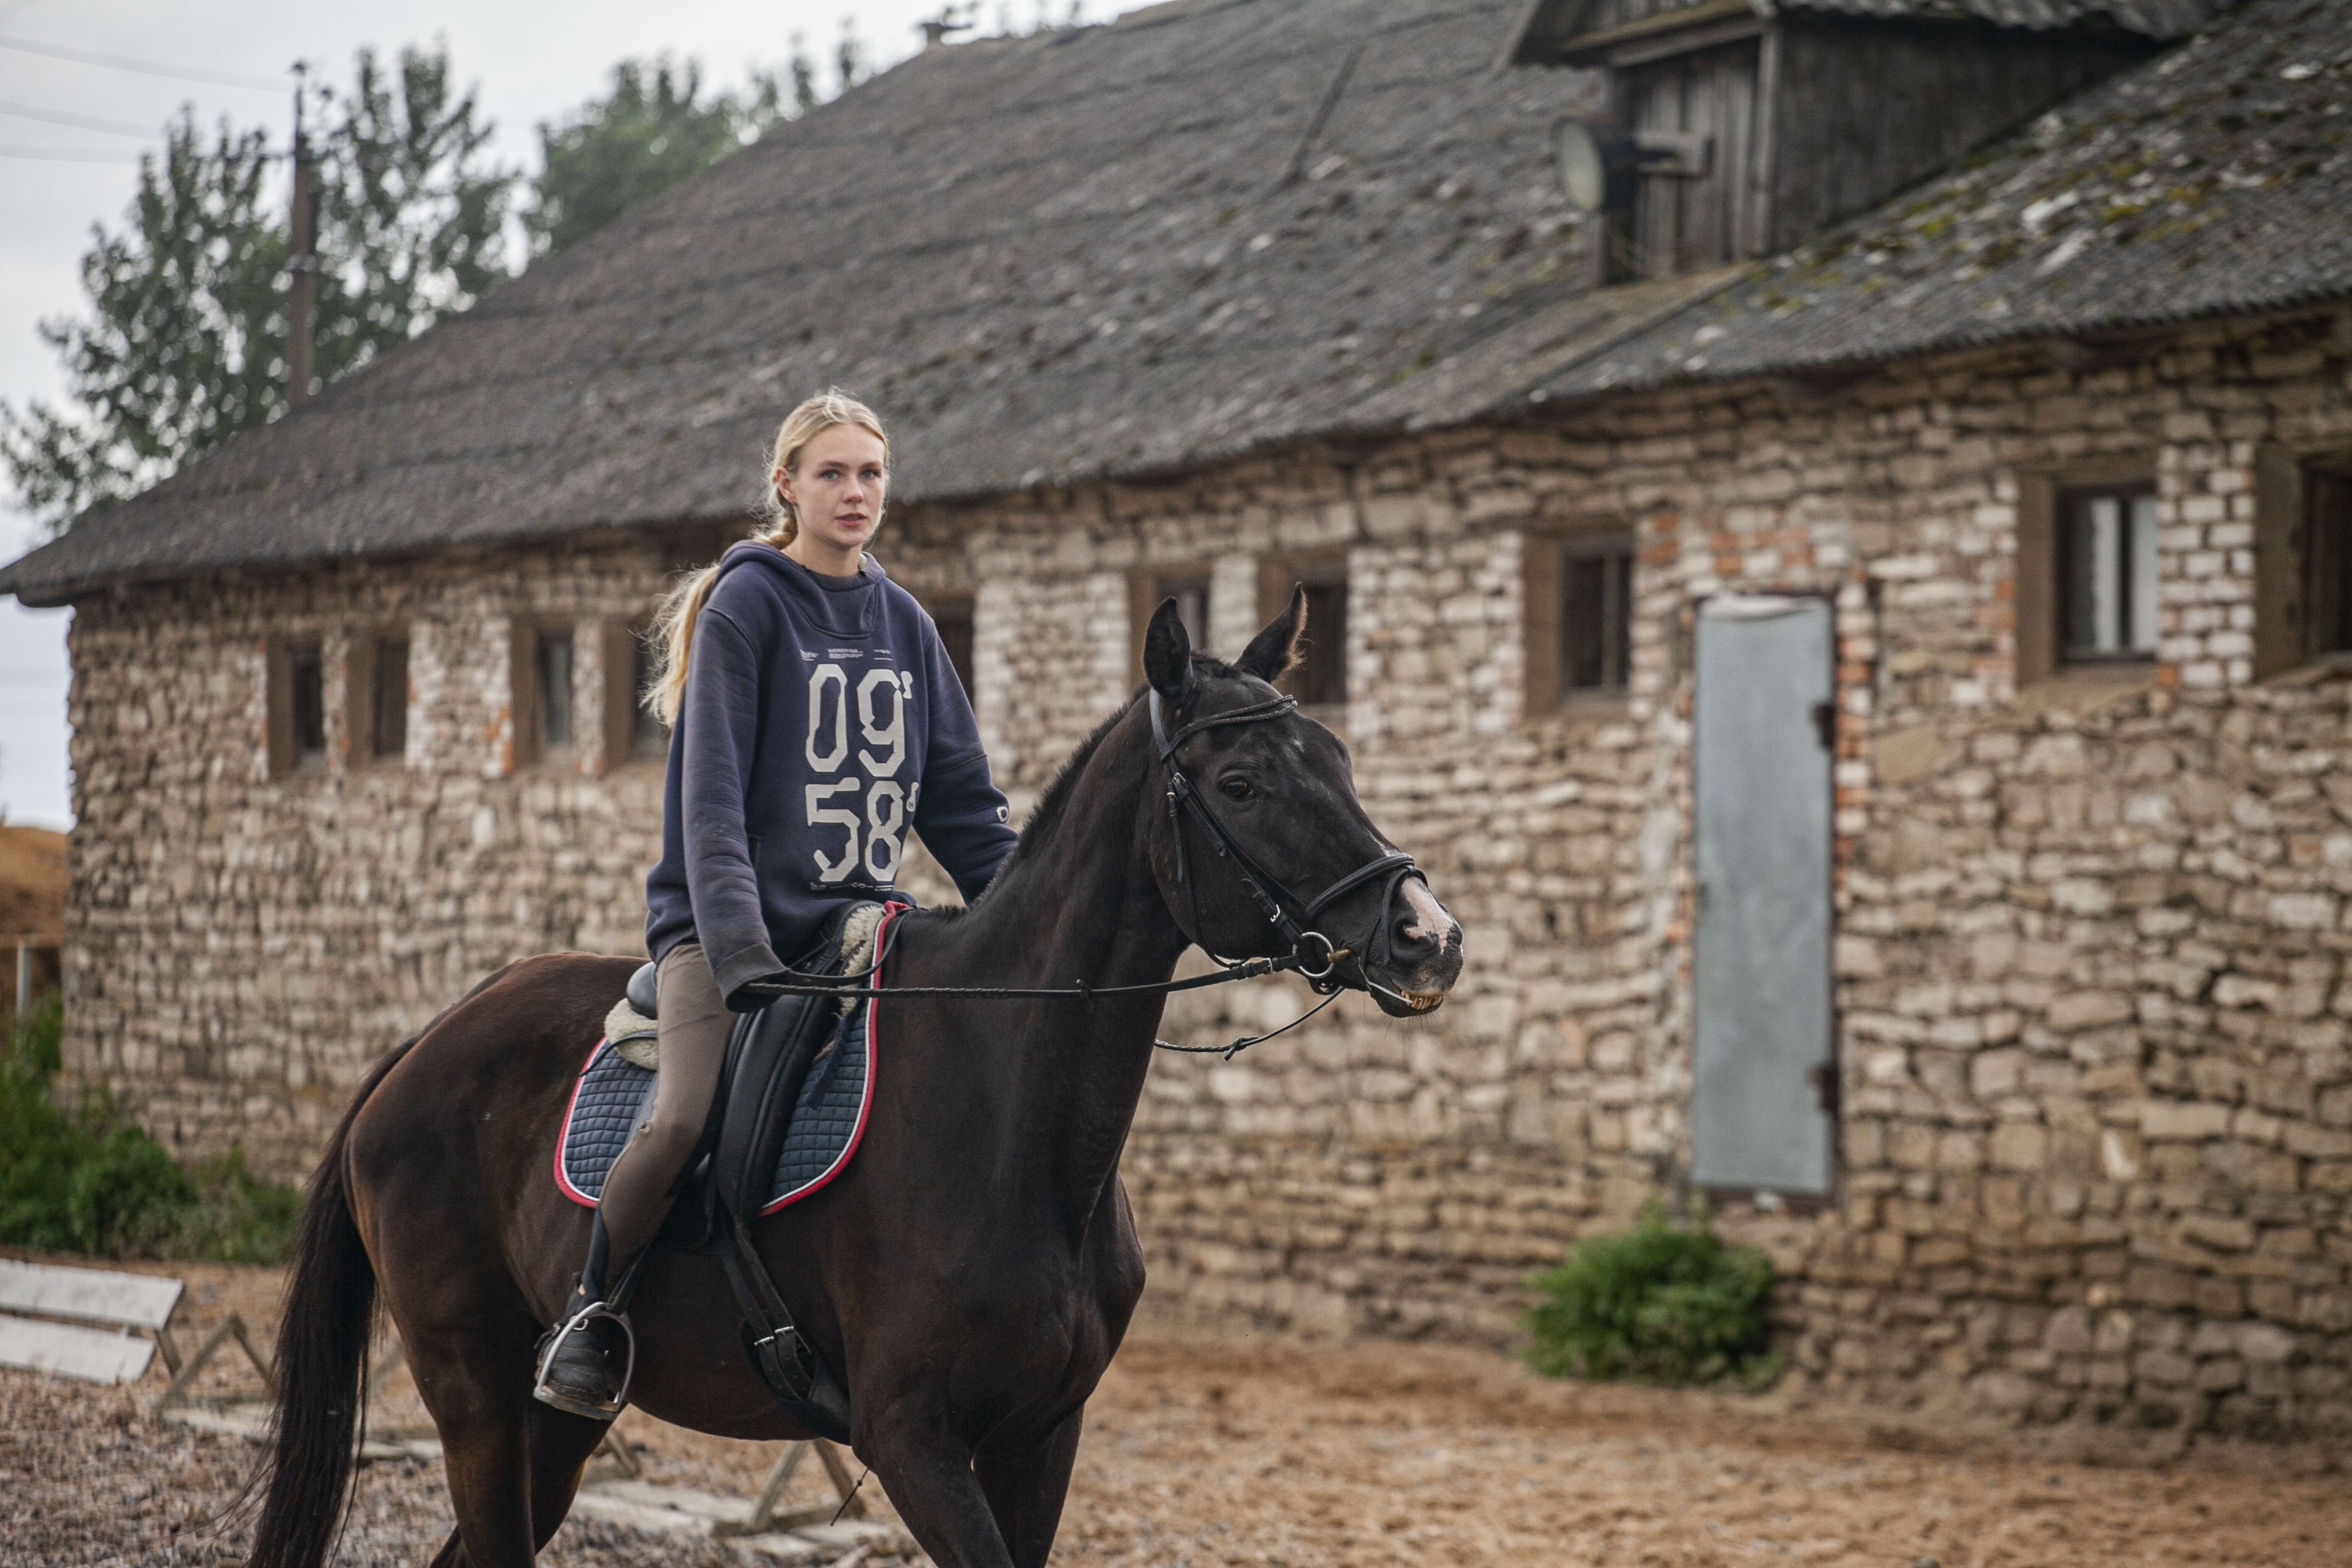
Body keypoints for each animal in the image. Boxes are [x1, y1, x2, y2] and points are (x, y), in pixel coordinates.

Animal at [243, 592, 1449, 1568]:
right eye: (1241, 783)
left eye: (1339, 761)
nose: (1426, 935)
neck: (1013, 1120)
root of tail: (419, 1048)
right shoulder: (912, 1437)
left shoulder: (1041, 1435)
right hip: (477, 1394)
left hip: (555, 1421)